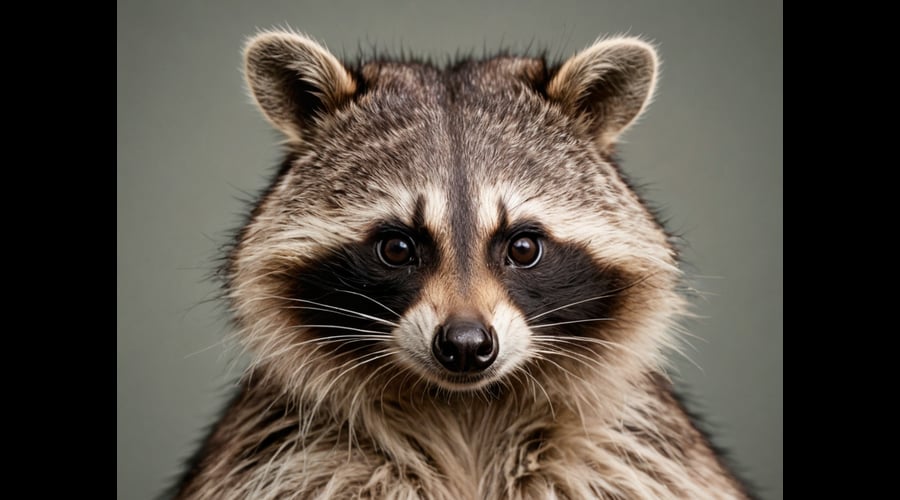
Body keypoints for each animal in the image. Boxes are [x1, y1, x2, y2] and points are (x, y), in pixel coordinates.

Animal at [174, 30, 750, 499]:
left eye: (523, 248)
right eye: (397, 249)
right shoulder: (288, 458)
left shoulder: (638, 456)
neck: (465, 409)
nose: (467, 345)